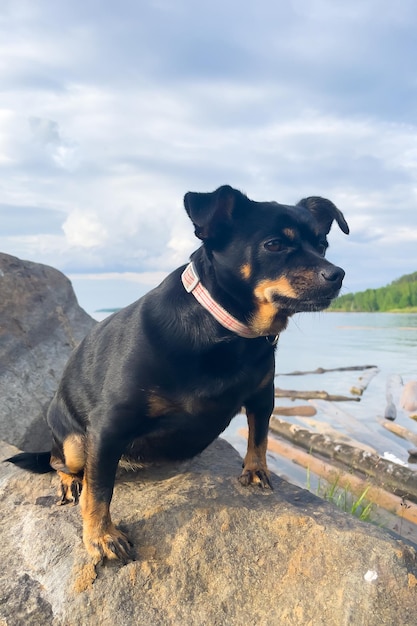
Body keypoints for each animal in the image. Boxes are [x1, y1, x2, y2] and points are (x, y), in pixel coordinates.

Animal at [6, 185, 348, 560]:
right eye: (274, 245)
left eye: (322, 245)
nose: (337, 274)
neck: (223, 329)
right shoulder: (108, 427)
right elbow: (100, 491)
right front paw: (100, 535)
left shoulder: (263, 397)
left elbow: (259, 436)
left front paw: (256, 471)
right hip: (74, 442)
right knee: (59, 461)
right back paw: (70, 480)